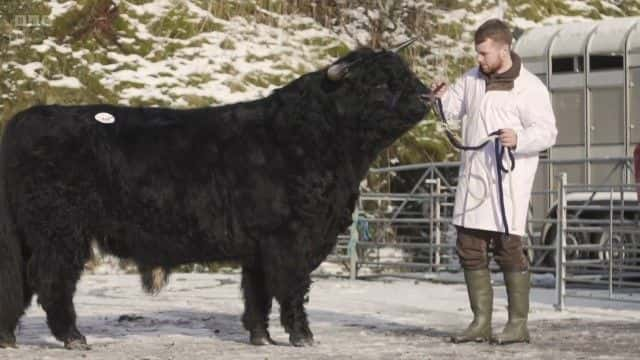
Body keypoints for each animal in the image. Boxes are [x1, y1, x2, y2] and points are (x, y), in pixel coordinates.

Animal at [1, 45, 430, 348]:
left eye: (409, 76)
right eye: (380, 84)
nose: (427, 97)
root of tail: (26, 119)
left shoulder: (259, 246)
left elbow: (257, 293)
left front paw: (261, 338)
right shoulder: (290, 239)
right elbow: (291, 287)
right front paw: (303, 336)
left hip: (28, 236)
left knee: (17, 280)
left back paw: (9, 337)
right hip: (59, 231)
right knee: (50, 279)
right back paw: (73, 337)